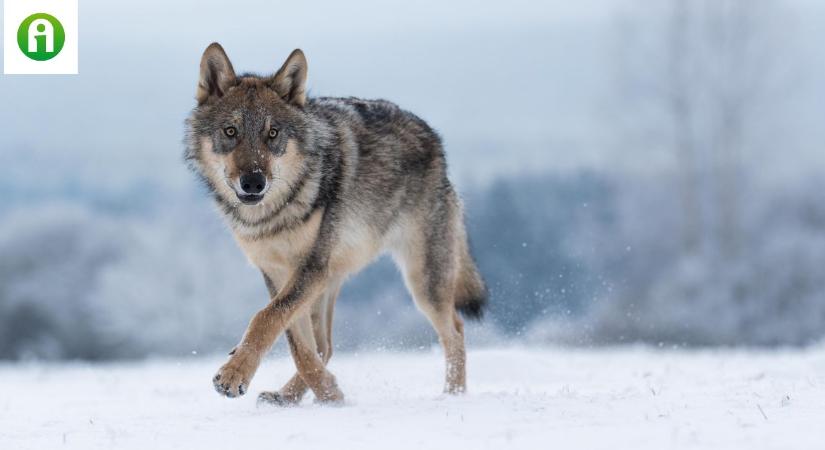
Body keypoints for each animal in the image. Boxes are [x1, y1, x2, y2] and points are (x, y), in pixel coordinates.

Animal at [183, 43, 486, 404]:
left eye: (272, 134)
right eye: (231, 132)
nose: (253, 183)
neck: (274, 216)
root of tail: (435, 140)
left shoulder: (310, 268)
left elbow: (266, 318)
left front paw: (233, 375)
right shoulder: (277, 272)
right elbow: (295, 341)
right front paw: (328, 392)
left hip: (422, 281)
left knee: (455, 330)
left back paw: (453, 396)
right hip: (332, 280)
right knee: (325, 346)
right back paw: (292, 396)